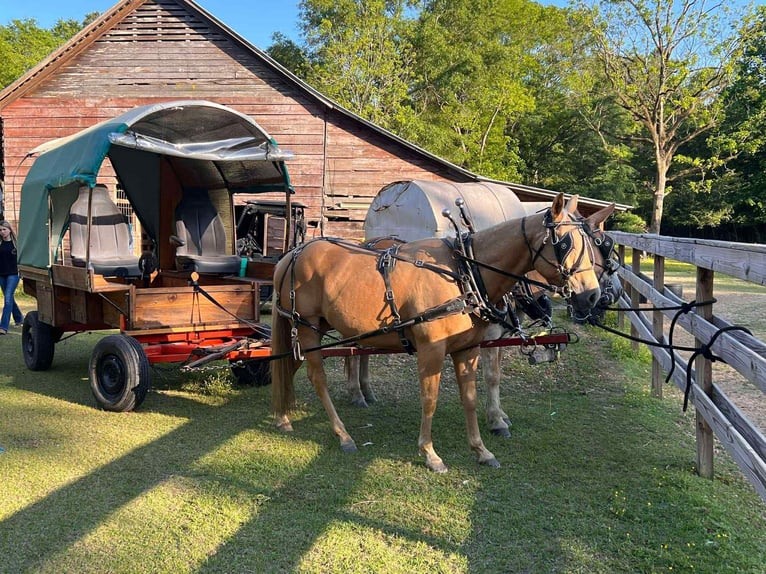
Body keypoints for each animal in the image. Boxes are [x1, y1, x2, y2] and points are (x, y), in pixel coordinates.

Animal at [270, 193, 602, 472]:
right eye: (565, 243)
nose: (593, 296)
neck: (464, 274)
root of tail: (292, 254)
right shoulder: (431, 349)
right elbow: (429, 399)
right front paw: (430, 453)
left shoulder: (467, 350)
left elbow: (469, 398)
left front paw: (481, 450)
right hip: (306, 327)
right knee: (317, 378)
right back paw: (342, 435)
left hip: (314, 328)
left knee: (288, 363)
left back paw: (283, 416)